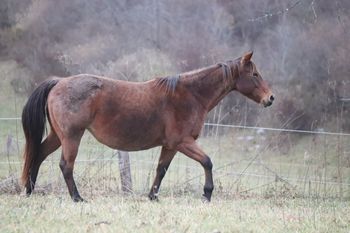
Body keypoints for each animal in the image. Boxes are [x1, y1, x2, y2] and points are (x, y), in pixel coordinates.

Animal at [21, 51, 274, 202]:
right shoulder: (183, 142)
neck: (190, 95)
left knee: (39, 155)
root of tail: (59, 82)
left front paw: (153, 196)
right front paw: (206, 194)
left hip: (58, 136)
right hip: (72, 137)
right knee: (66, 166)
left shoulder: (170, 146)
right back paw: (77, 198)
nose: (270, 98)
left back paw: (30, 190)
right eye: (255, 74)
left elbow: (161, 170)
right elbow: (207, 162)